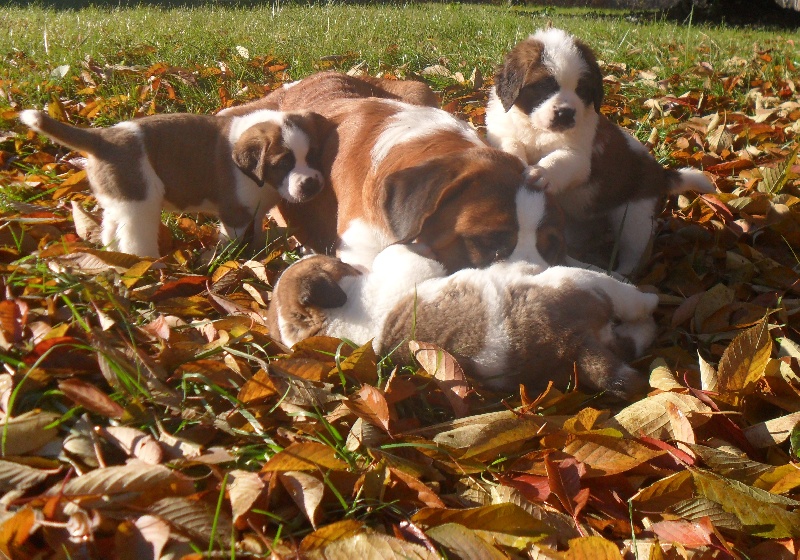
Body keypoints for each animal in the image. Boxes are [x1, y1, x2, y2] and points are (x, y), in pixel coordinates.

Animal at [21, 109, 328, 258]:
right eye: (283, 164)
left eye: (314, 155)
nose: (311, 184)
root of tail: (104, 138)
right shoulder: (235, 213)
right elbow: (234, 239)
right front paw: (232, 257)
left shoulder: (254, 211)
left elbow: (256, 231)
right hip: (140, 204)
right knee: (134, 237)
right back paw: (146, 264)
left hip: (120, 199)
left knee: (112, 229)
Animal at [266, 244, 660, 398]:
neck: (337, 323)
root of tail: (574, 347)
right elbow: (398, 253)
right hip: (577, 281)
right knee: (632, 303)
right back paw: (652, 298)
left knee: (635, 335)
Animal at [484, 28, 716, 276]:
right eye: (545, 86)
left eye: (582, 90)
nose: (566, 113)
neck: (536, 129)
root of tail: (661, 173)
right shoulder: (502, 131)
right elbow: (510, 145)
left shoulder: (578, 156)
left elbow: (559, 160)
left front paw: (541, 173)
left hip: (635, 218)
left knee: (634, 255)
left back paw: (618, 274)